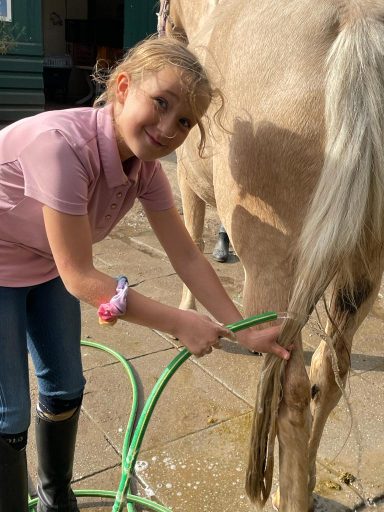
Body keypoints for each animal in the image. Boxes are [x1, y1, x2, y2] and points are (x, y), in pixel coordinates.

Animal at [158, 2, 384, 510]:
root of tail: (355, 20)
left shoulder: (186, 181)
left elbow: (190, 241)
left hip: (273, 270)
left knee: (291, 394)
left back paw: (289, 494)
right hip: (364, 268)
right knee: (329, 374)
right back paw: (304, 481)